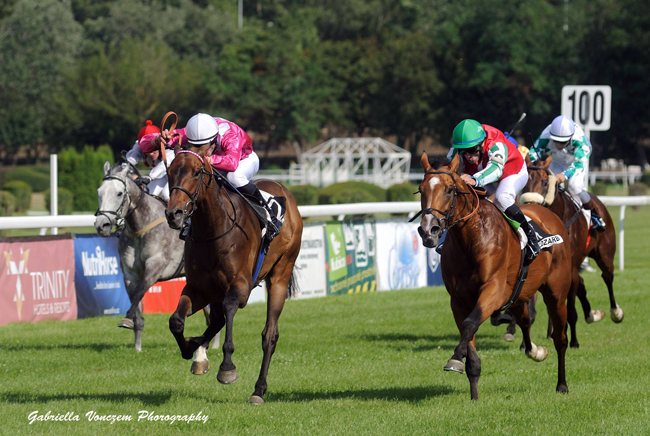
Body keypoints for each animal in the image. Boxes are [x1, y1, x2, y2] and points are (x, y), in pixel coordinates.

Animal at [165, 146, 302, 406]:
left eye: (197, 172)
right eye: (169, 172)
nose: (174, 214)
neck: (213, 230)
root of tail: (285, 191)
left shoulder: (240, 287)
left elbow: (230, 309)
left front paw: (227, 367)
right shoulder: (197, 288)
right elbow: (176, 321)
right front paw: (190, 347)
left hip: (281, 273)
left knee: (269, 335)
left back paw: (258, 390)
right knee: (216, 320)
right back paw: (199, 352)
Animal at [416, 152, 568, 400]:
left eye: (450, 189)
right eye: (421, 189)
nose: (429, 230)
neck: (471, 239)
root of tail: (550, 215)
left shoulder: (493, 289)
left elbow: (470, 323)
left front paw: (455, 358)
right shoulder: (458, 300)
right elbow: (469, 331)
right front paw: (473, 393)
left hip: (556, 293)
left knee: (560, 338)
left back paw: (562, 384)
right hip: (520, 294)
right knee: (525, 320)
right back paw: (534, 351)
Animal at [520, 155, 620, 350]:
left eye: (545, 182)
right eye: (524, 182)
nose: (530, 205)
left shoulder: (571, 267)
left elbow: (571, 309)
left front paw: (573, 340)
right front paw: (525, 343)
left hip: (604, 254)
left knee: (607, 276)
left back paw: (615, 312)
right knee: (582, 282)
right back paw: (590, 314)